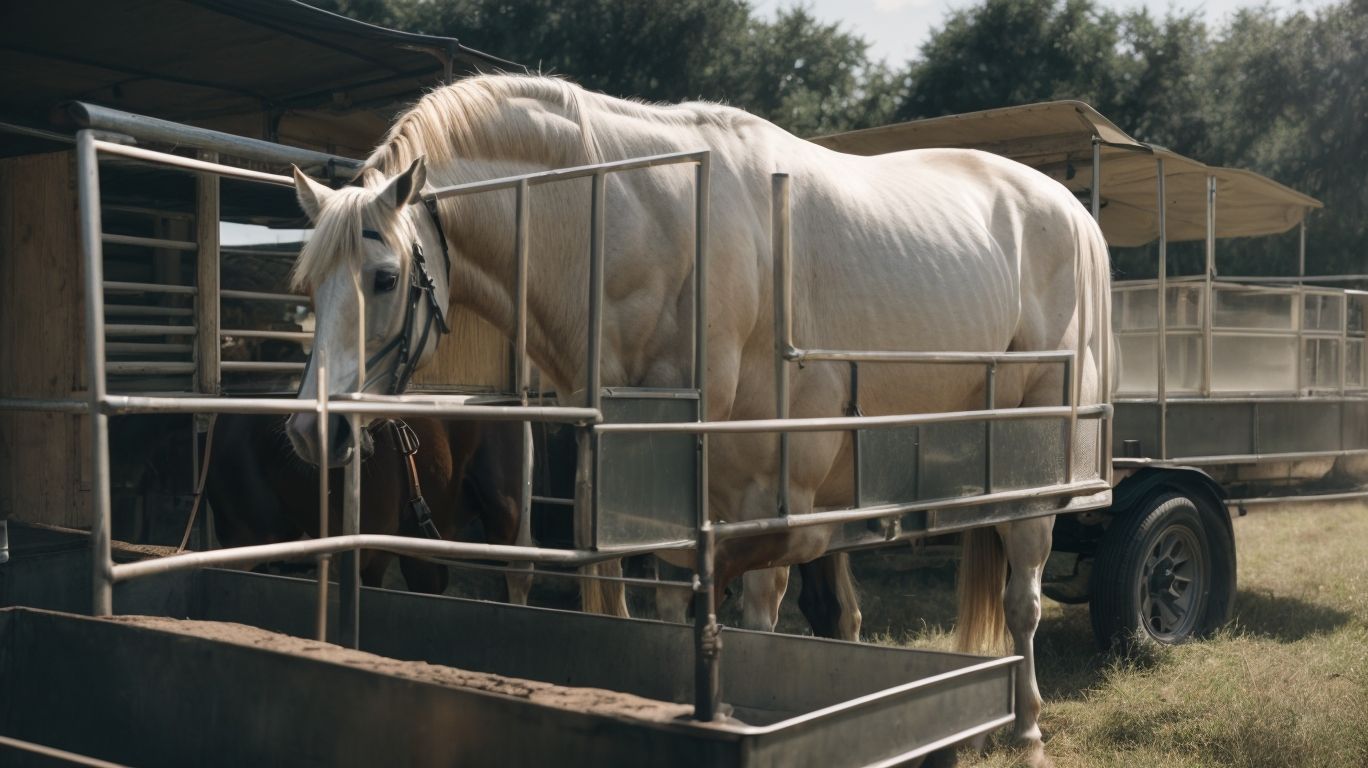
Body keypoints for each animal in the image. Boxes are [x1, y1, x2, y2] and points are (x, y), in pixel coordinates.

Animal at [280, 74, 1111, 761]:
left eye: (385, 277)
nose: (311, 432)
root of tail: (1073, 214)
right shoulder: (654, 501)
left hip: (1034, 463)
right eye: (306, 284)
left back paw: (1027, 726)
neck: (645, 229)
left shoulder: (767, 498)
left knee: (1023, 595)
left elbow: (758, 626)